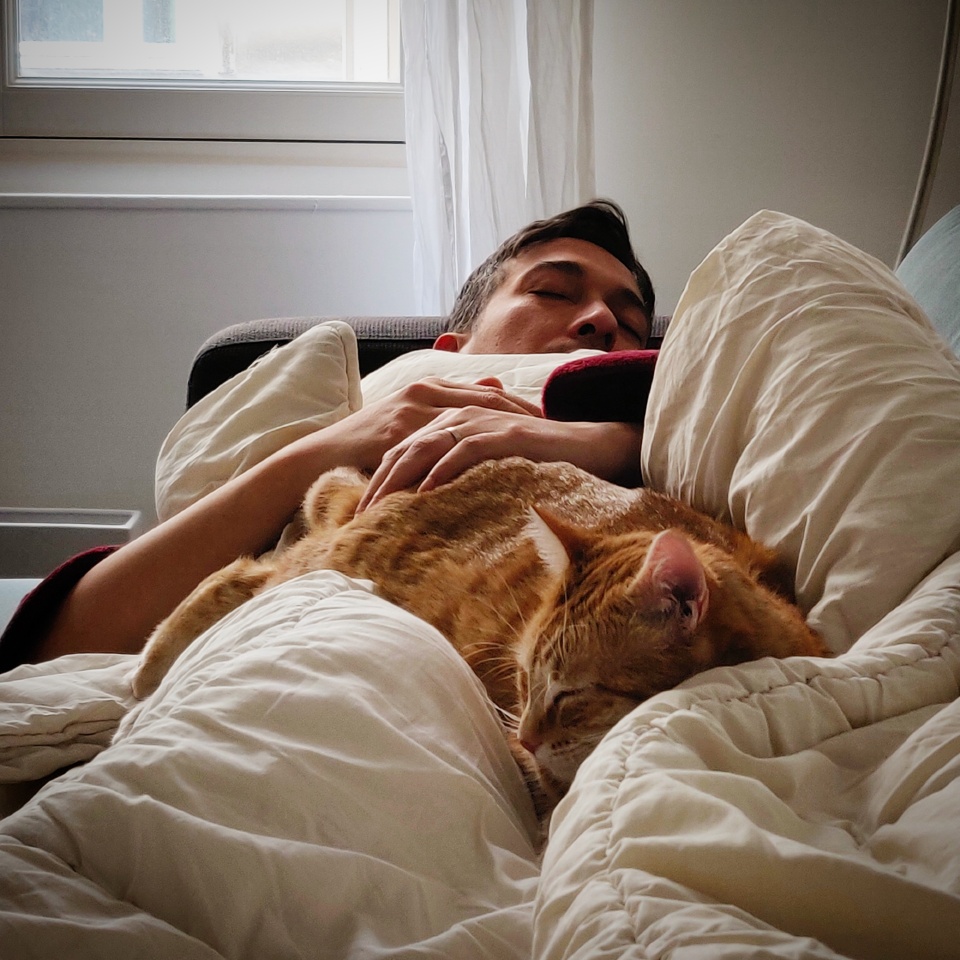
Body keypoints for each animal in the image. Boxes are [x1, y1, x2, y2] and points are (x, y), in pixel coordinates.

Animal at [132, 456, 828, 818]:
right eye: (523, 679)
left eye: (572, 694)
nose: (523, 736)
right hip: (329, 562)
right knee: (238, 574)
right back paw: (146, 674)